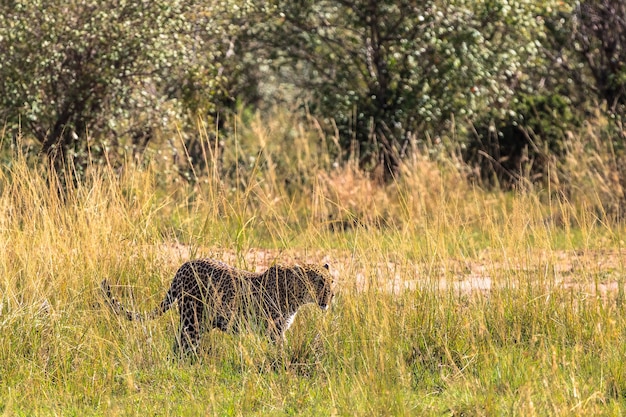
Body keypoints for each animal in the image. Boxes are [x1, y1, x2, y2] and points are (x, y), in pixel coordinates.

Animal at [102, 258, 334, 352]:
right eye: (319, 282)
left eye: (332, 281)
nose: (331, 296)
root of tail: (183, 266)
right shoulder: (273, 331)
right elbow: (281, 351)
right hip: (192, 319)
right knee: (184, 345)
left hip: (202, 321)